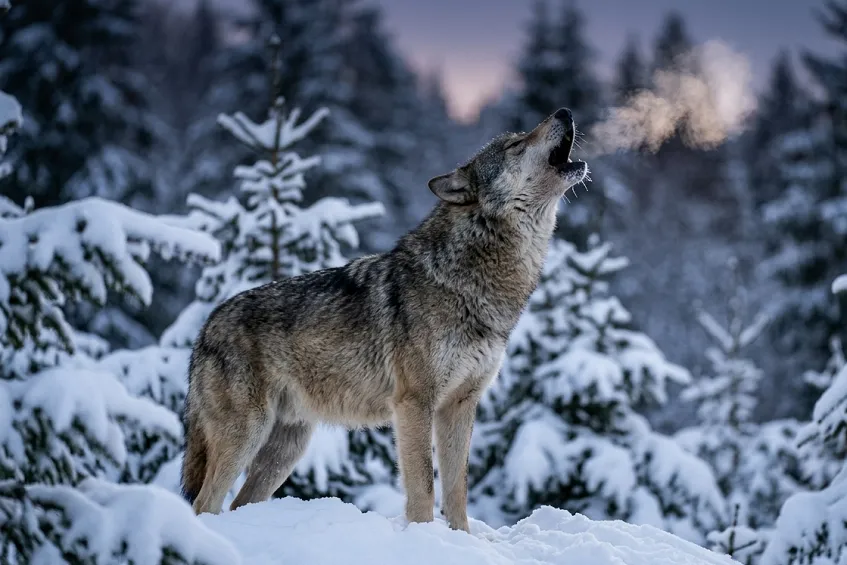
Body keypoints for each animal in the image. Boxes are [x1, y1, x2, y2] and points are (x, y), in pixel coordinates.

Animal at [180, 107, 589, 532]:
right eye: (516, 144)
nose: (564, 112)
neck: (471, 280)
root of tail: (205, 327)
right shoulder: (414, 403)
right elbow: (423, 483)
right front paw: (424, 536)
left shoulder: (460, 405)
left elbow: (457, 488)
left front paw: (463, 538)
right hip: (248, 434)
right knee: (205, 502)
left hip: (286, 449)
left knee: (237, 502)